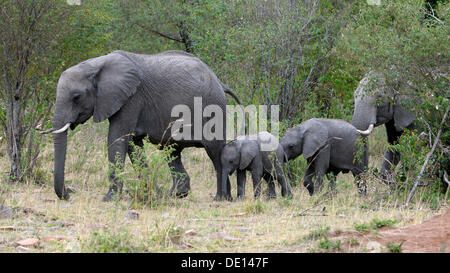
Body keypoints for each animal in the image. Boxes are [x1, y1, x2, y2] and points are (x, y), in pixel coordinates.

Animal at [44, 50, 243, 201]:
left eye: (76, 97)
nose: (68, 194)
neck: (96, 65)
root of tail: (219, 82)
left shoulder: (132, 98)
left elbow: (117, 139)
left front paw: (109, 199)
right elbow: (133, 145)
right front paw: (151, 193)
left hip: (212, 108)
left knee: (215, 152)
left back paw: (221, 198)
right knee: (172, 151)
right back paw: (177, 195)